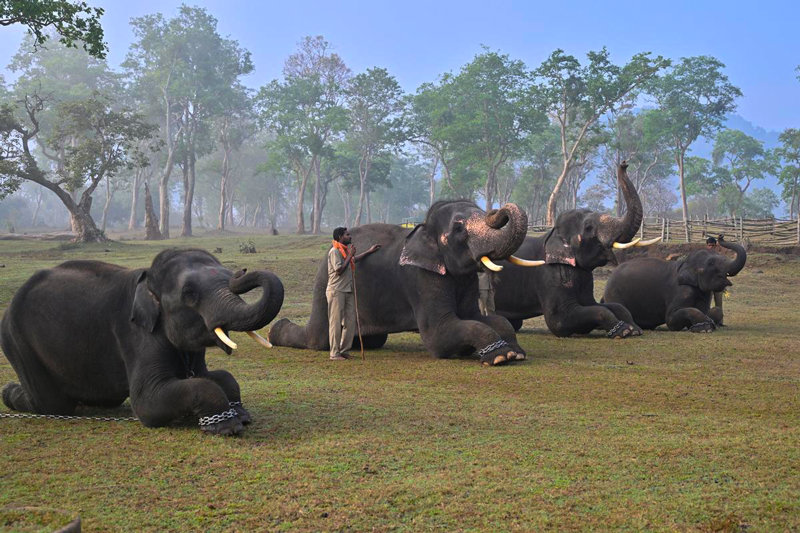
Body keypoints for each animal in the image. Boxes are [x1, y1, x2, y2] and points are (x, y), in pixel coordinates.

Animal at [0, 249, 284, 435]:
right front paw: (226, 426)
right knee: (52, 403)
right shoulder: (136, 335)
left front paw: (242, 416)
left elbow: (217, 375)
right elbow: (147, 402)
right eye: (189, 294)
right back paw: (10, 392)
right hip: (16, 340)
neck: (147, 281)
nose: (240, 272)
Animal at [268, 200, 540, 365]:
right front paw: (500, 357)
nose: (496, 211)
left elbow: (484, 318)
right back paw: (276, 331)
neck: (425, 229)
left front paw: (515, 352)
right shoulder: (419, 277)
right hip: (324, 286)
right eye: (459, 227)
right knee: (317, 340)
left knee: (372, 340)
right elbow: (439, 335)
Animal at [493, 162, 658, 338]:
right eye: (588, 227)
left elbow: (604, 305)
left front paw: (635, 329)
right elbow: (560, 322)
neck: (553, 234)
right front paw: (623, 331)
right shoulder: (549, 276)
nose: (624, 163)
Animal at [602, 236, 746, 332]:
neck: (685, 263)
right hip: (614, 292)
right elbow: (671, 319)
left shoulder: (704, 293)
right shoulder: (681, 291)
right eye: (711, 263)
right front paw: (704, 328)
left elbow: (715, 310)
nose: (720, 236)